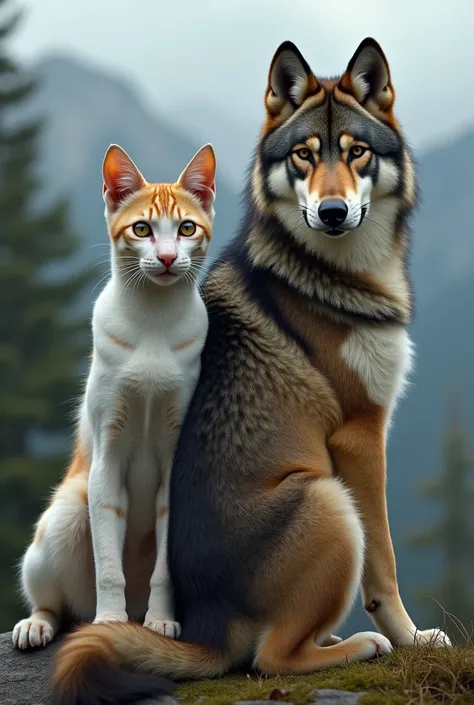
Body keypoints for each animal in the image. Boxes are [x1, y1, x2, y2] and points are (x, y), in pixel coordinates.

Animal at [12, 139, 217, 648]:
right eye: (142, 228)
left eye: (186, 228)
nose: (167, 257)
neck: (153, 323)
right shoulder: (107, 456)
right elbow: (108, 562)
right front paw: (108, 621)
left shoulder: (175, 458)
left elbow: (164, 568)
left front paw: (162, 620)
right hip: (66, 511)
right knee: (59, 604)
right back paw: (40, 624)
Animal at [52, 38, 452, 704]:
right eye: (303, 156)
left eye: (357, 152)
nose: (334, 211)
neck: (335, 272)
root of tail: (209, 630)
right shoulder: (362, 437)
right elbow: (386, 567)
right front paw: (414, 637)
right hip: (329, 497)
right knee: (271, 658)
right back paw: (360, 645)